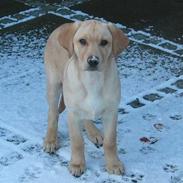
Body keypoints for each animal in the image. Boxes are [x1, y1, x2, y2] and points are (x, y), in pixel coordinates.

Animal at [43, 20, 129, 177]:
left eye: (104, 42)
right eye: (82, 41)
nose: (93, 61)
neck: (92, 80)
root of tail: (63, 25)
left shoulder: (111, 112)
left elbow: (110, 142)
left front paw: (113, 164)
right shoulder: (73, 114)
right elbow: (77, 142)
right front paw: (77, 164)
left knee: (86, 117)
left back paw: (94, 132)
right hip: (53, 84)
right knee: (52, 113)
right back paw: (50, 139)